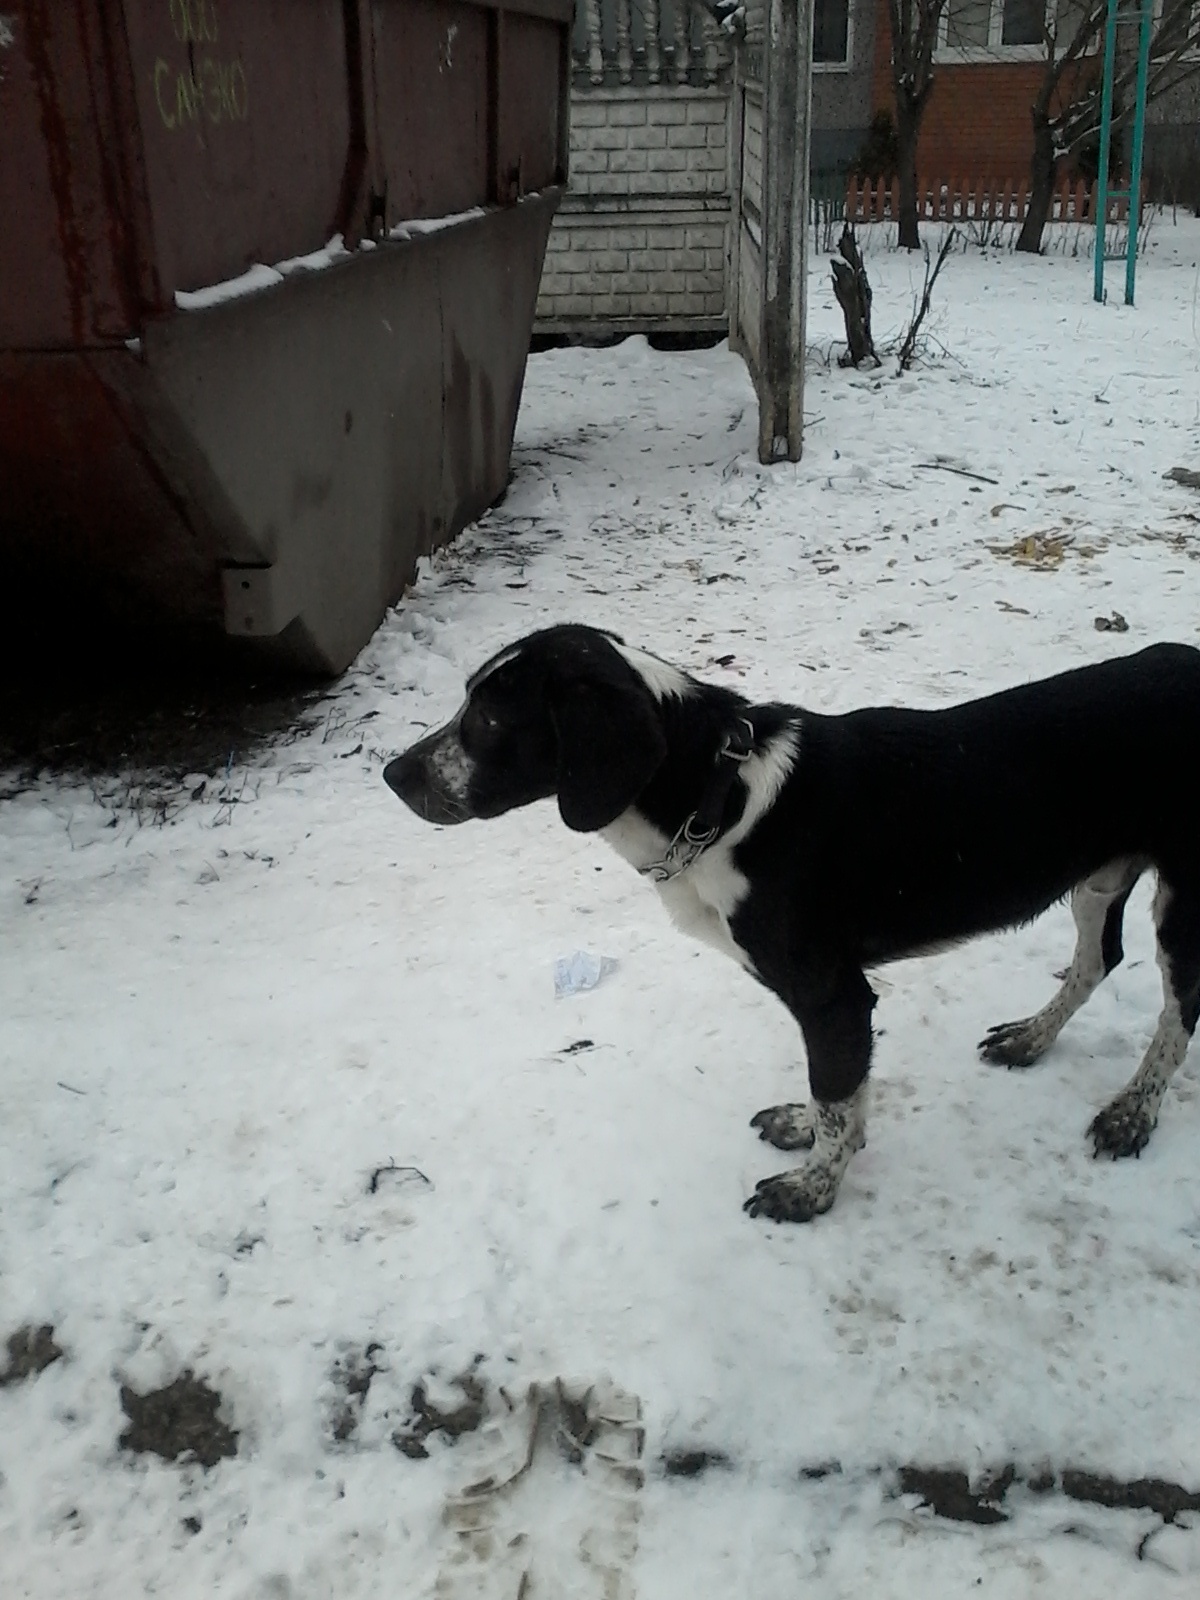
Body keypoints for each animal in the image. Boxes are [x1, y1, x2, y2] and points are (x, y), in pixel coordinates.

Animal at [385, 627, 1200, 1222]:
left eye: (491, 718)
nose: (393, 774)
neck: (718, 799)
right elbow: (835, 1092)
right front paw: (803, 1135)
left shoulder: (833, 995)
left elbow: (838, 1099)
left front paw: (812, 1190)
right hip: (1098, 877)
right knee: (1098, 959)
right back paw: (1033, 1038)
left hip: (1183, 901)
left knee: (1178, 1009)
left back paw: (1132, 1114)